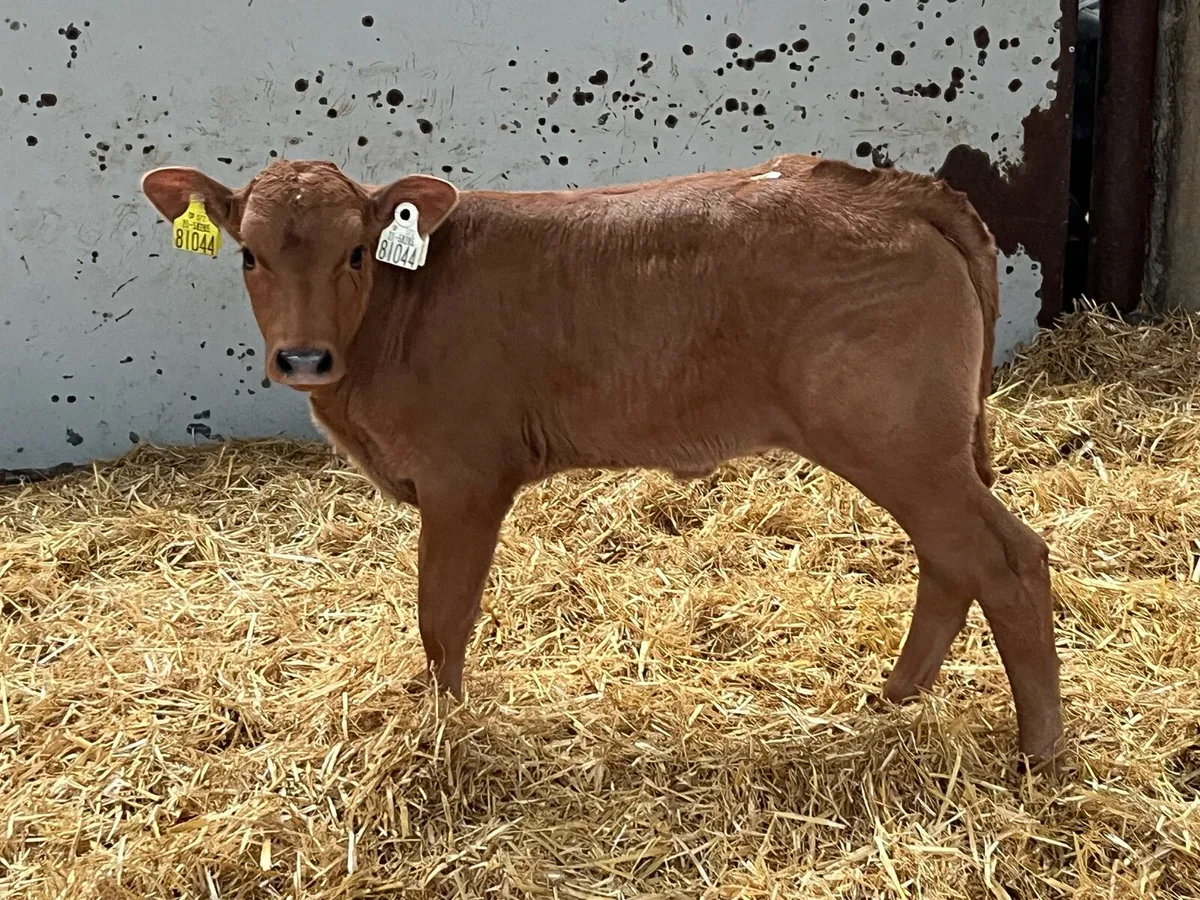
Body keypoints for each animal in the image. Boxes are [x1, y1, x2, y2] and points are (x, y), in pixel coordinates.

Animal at [140, 154, 1062, 766]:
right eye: (249, 254)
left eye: (356, 254)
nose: (302, 358)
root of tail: (898, 189)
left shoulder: (463, 478)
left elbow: (443, 617)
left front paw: (443, 730)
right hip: (918, 453)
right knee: (952, 561)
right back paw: (895, 695)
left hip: (899, 442)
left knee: (1006, 559)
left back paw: (1040, 750)